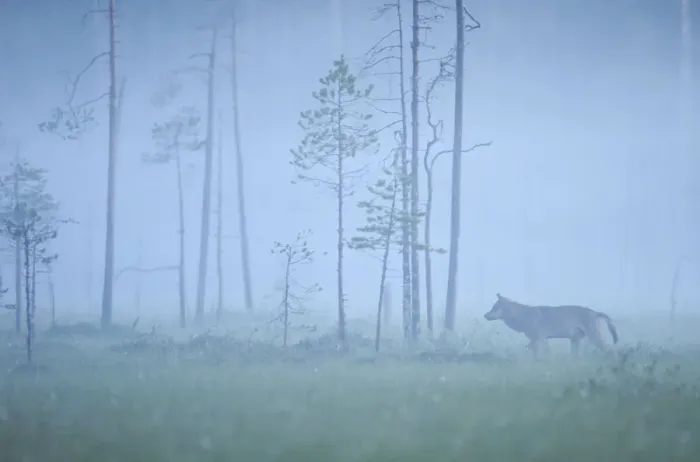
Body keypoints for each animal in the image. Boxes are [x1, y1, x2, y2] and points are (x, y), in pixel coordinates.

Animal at [483, 294, 618, 355]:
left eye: (494, 308)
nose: (485, 315)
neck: (522, 316)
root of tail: (595, 312)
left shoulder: (538, 339)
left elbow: (534, 354)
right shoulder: (540, 340)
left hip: (594, 339)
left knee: (609, 349)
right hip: (575, 341)